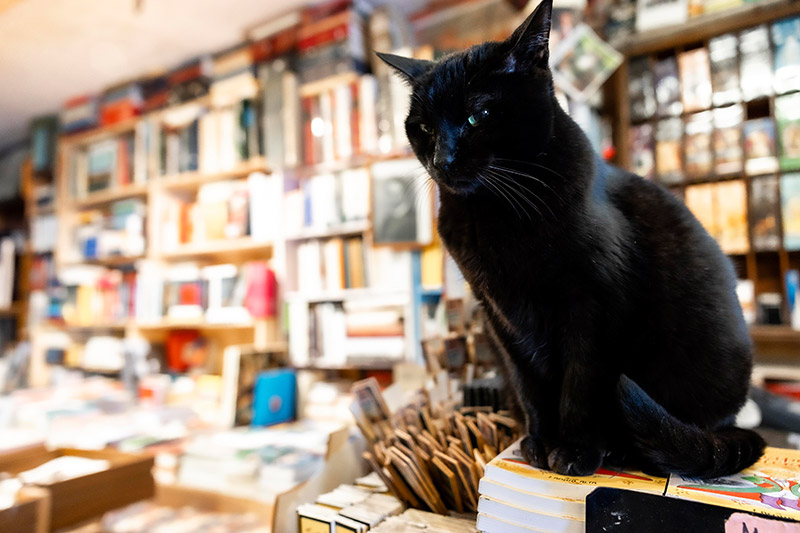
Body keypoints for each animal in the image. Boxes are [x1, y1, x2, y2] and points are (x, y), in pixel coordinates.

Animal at [378, 0, 764, 478]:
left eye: (477, 116)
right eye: (424, 127)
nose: (441, 159)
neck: (495, 213)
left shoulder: (594, 308)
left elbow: (580, 385)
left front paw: (576, 450)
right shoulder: (502, 319)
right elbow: (531, 385)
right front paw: (541, 442)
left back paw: (622, 450)